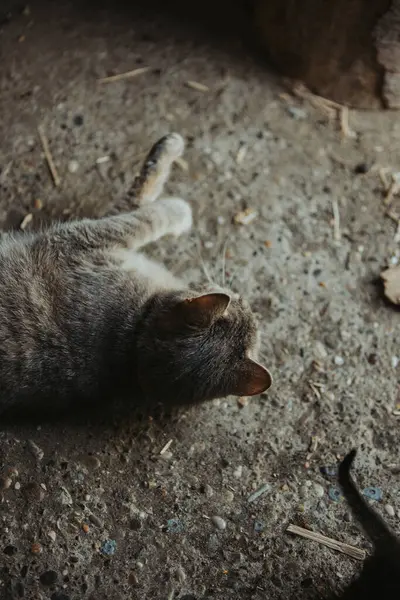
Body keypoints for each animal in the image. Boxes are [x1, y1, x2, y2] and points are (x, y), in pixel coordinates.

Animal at [0, 132, 272, 414]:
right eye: (240, 304)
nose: (248, 302)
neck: (133, 344)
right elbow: (142, 203)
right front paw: (168, 151)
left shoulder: (82, 238)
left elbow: (143, 212)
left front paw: (176, 201)